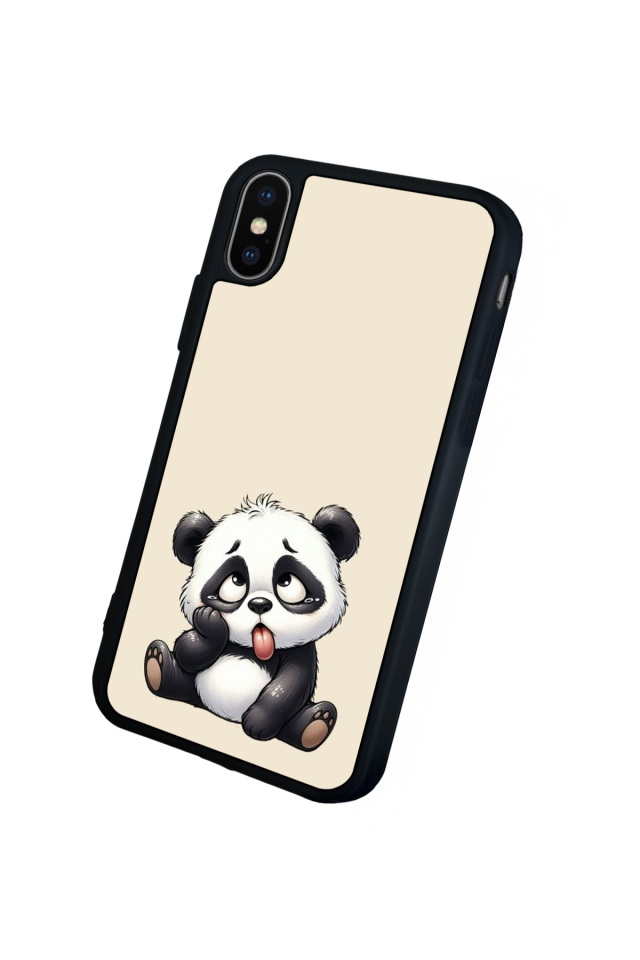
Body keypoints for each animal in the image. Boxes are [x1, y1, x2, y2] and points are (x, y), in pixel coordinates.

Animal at [145, 495, 360, 751]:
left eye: (287, 582)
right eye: (235, 581)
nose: (259, 605)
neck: (252, 648)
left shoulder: (301, 651)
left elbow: (292, 684)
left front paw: (258, 723)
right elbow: (188, 650)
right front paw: (209, 623)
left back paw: (315, 723)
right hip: (193, 688)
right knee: (181, 680)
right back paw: (158, 665)